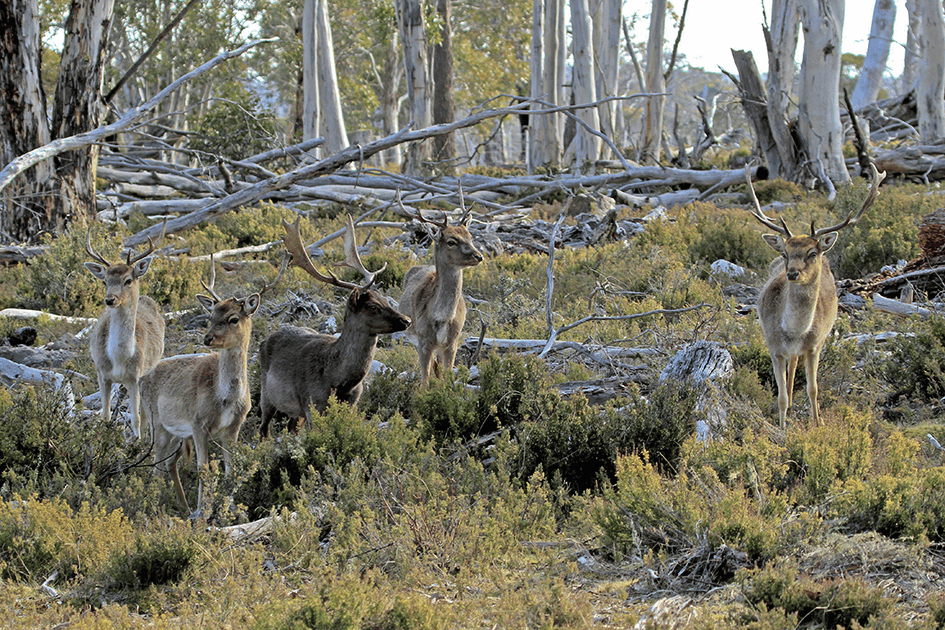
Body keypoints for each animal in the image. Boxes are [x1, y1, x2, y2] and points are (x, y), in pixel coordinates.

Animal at [84, 222, 167, 439]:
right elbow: (105, 416)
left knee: (145, 413)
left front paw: (136, 442)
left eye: (128, 280)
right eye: (105, 280)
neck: (119, 359)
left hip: (149, 371)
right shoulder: (101, 373)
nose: (110, 299)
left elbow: (135, 418)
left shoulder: (134, 376)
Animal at [140, 255, 285, 517]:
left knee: (169, 462)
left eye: (233, 319)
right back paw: (155, 506)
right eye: (211, 317)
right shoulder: (198, 424)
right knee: (155, 464)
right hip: (157, 423)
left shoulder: (233, 427)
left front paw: (231, 510)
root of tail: (141, 378)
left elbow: (230, 468)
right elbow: (203, 468)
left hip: (177, 434)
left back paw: (183, 506)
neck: (225, 399)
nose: (208, 339)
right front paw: (203, 513)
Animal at [258, 215, 411, 438]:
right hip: (266, 393)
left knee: (291, 427)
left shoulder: (352, 404)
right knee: (263, 428)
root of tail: (264, 341)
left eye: (386, 299)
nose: (407, 320)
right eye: (373, 307)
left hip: (294, 411)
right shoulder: (313, 403)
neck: (339, 381)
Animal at [396, 189, 484, 384]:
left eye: (470, 237)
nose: (478, 256)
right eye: (451, 241)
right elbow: (424, 381)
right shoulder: (423, 340)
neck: (442, 319)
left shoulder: (453, 341)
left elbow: (447, 377)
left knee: (437, 369)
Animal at [747, 163, 885, 428]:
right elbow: (780, 396)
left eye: (812, 253)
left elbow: (813, 389)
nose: (792, 273)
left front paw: (817, 424)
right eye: (786, 253)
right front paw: (782, 427)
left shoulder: (814, 346)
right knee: (790, 374)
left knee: (796, 369)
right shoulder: (773, 346)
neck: (794, 332)